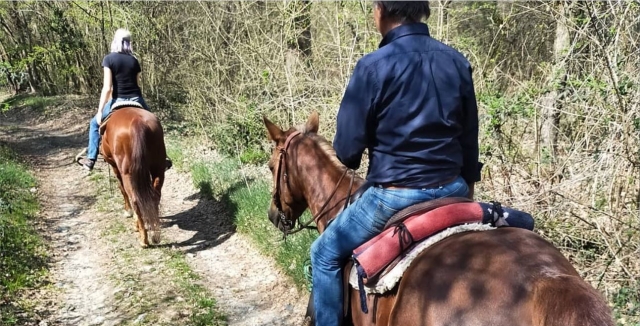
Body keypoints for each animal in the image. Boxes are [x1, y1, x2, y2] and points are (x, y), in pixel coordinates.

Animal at [100, 107, 165, 247]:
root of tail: (137, 122)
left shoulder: (114, 166)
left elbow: (121, 189)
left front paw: (127, 212)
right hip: (158, 168)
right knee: (155, 196)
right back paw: (154, 231)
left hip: (127, 173)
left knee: (135, 198)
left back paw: (143, 238)